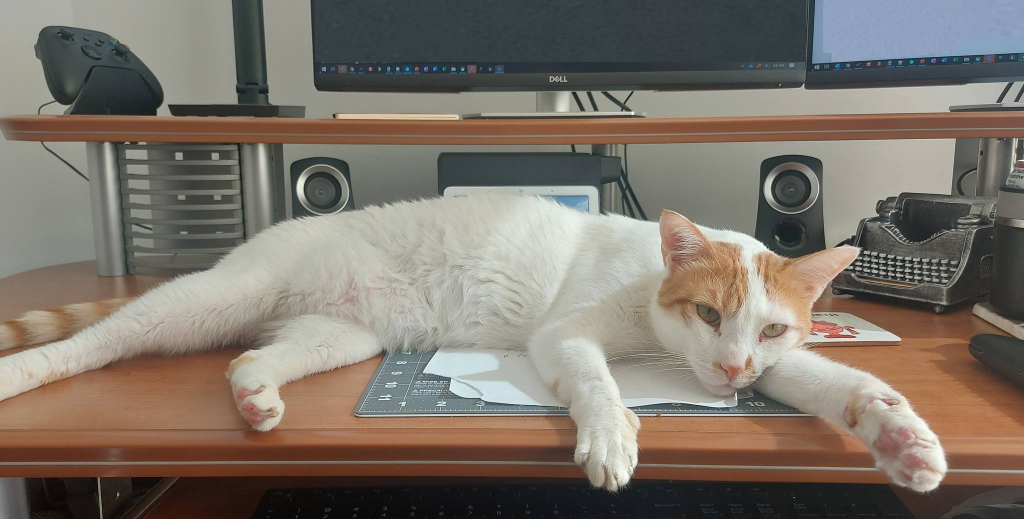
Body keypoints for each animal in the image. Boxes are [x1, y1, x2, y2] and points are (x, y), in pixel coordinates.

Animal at [0, 194, 942, 491]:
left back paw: (254, 394)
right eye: (711, 314)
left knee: (251, 356)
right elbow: (596, 382)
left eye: (771, 327)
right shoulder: (566, 335)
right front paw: (611, 433)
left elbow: (831, 381)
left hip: (332, 337)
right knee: (102, 340)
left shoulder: (772, 366)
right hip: (210, 299)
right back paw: (24, 371)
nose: (734, 366)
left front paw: (900, 432)